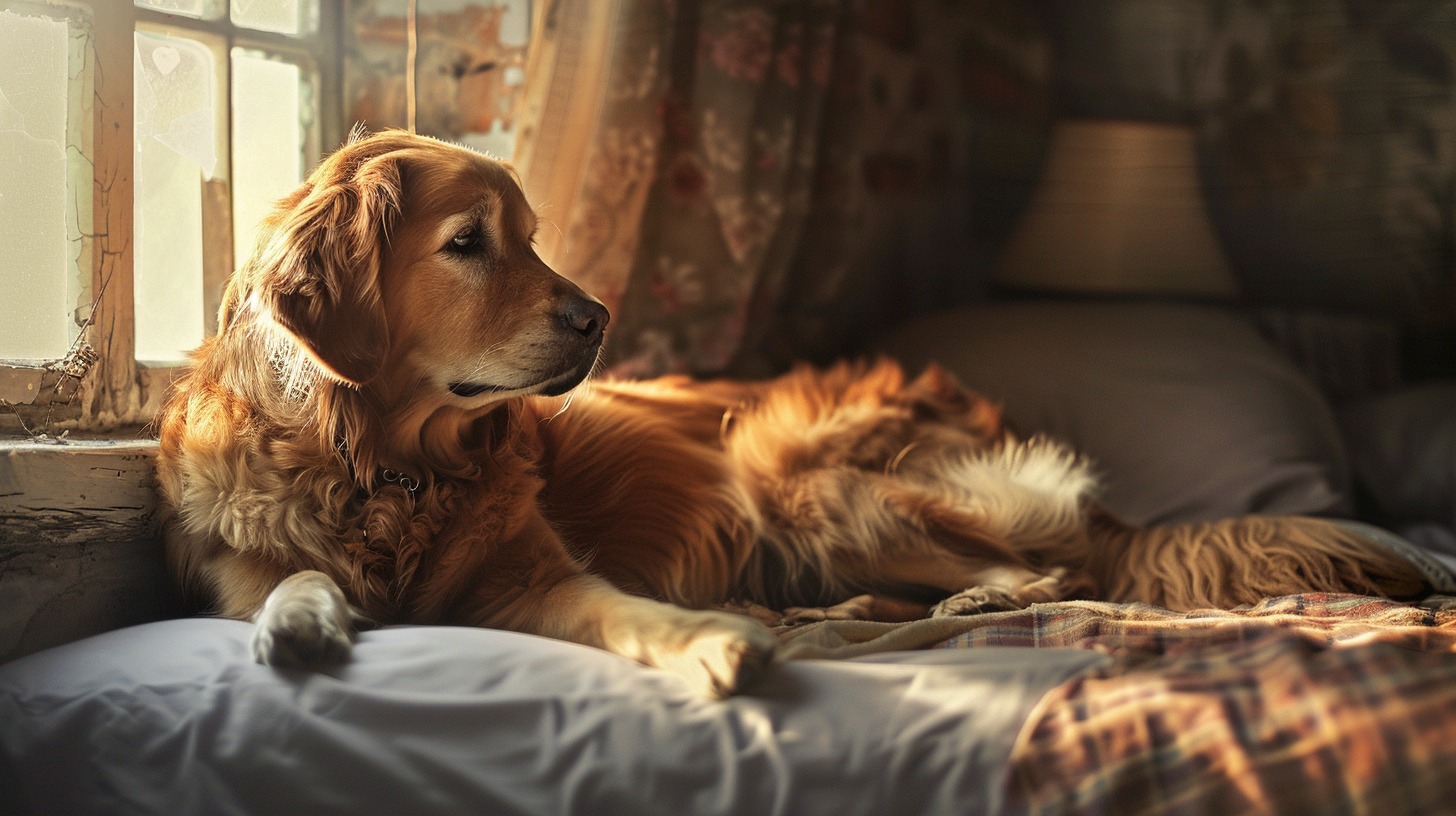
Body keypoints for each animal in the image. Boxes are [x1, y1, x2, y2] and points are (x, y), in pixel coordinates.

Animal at [153, 130, 1426, 699]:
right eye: (469, 245)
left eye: (534, 236)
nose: (600, 317)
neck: (385, 467)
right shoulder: (237, 570)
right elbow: (286, 584)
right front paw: (303, 623)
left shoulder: (538, 580)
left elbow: (628, 612)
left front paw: (714, 642)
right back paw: (851, 610)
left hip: (795, 472)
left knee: (1046, 569)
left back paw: (938, 603)